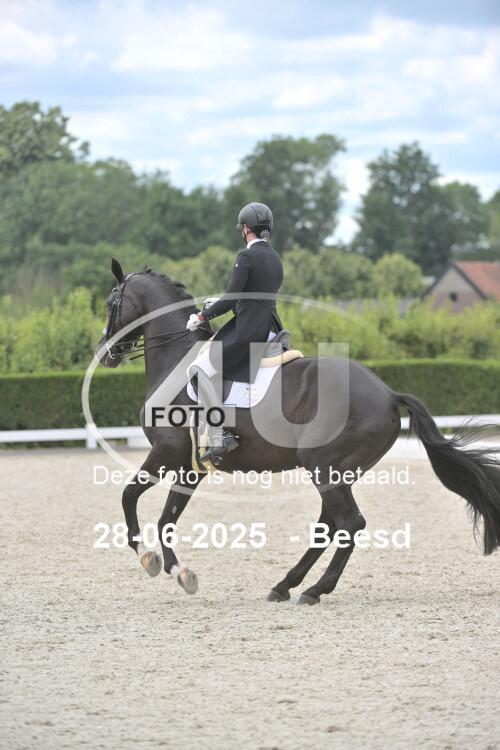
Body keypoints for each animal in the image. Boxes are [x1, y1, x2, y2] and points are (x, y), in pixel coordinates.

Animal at [95, 259, 500, 605]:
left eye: (112, 301)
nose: (104, 353)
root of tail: (387, 394)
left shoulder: (165, 453)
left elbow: (129, 497)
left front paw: (150, 560)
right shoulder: (189, 466)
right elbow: (167, 517)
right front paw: (180, 572)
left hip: (325, 467)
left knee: (349, 523)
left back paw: (314, 590)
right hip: (334, 472)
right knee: (329, 525)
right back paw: (286, 585)